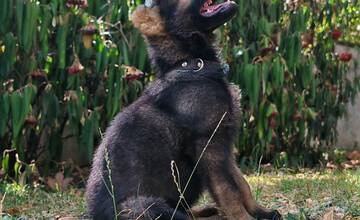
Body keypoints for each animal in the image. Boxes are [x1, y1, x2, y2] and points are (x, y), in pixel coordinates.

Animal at [86, 0, 282, 220]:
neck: (193, 64)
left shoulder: (224, 145)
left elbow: (241, 183)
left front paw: (261, 212)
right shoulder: (210, 146)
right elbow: (228, 191)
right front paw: (243, 217)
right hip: (142, 205)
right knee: (177, 215)